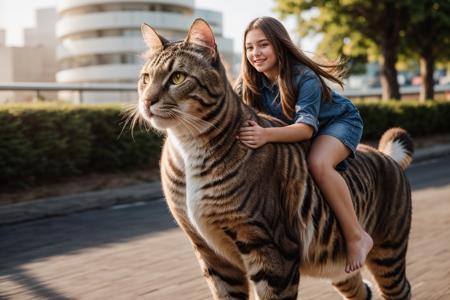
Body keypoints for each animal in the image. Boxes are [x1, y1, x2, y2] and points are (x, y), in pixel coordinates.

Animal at [135, 19, 414, 300]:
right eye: (146, 78)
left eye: (177, 78)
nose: (146, 101)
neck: (186, 147)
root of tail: (387, 156)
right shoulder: (210, 252)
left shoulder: (270, 247)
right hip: (337, 266)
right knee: (359, 288)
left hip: (387, 256)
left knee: (401, 289)